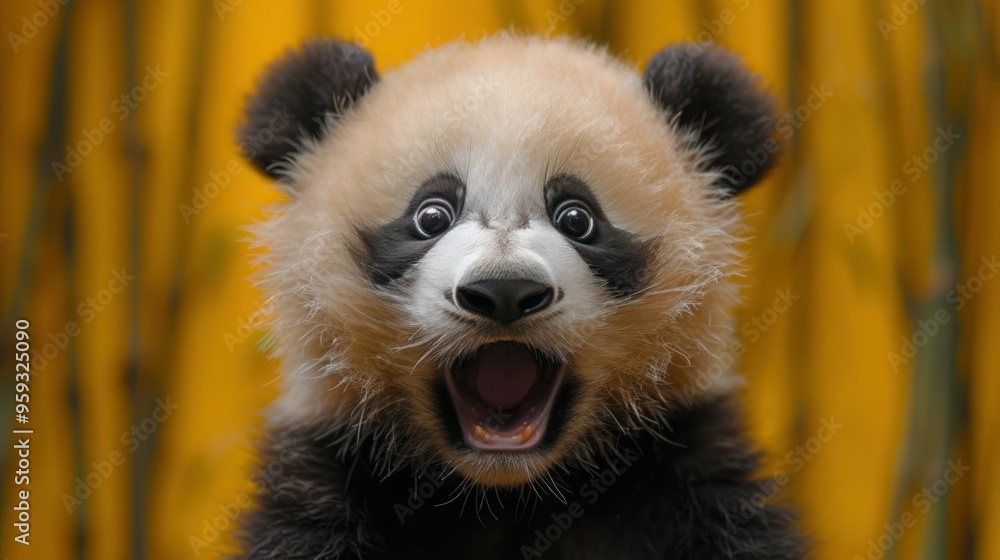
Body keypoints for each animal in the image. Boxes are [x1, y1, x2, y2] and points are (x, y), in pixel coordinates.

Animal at [235, 34, 807, 560]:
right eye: (431, 215)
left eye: (577, 218)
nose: (504, 290)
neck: (504, 493)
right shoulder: (331, 478)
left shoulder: (686, 480)